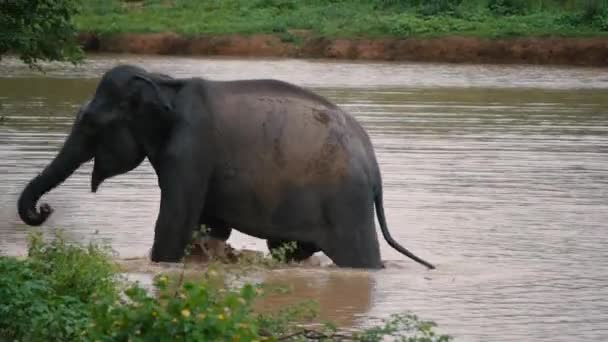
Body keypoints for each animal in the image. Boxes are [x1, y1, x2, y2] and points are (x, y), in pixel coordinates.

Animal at [16, 64, 434, 270]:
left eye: (88, 122)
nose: (44, 209)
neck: (163, 81)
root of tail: (374, 166)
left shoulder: (191, 148)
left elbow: (175, 220)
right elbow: (209, 224)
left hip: (346, 201)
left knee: (360, 258)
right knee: (288, 248)